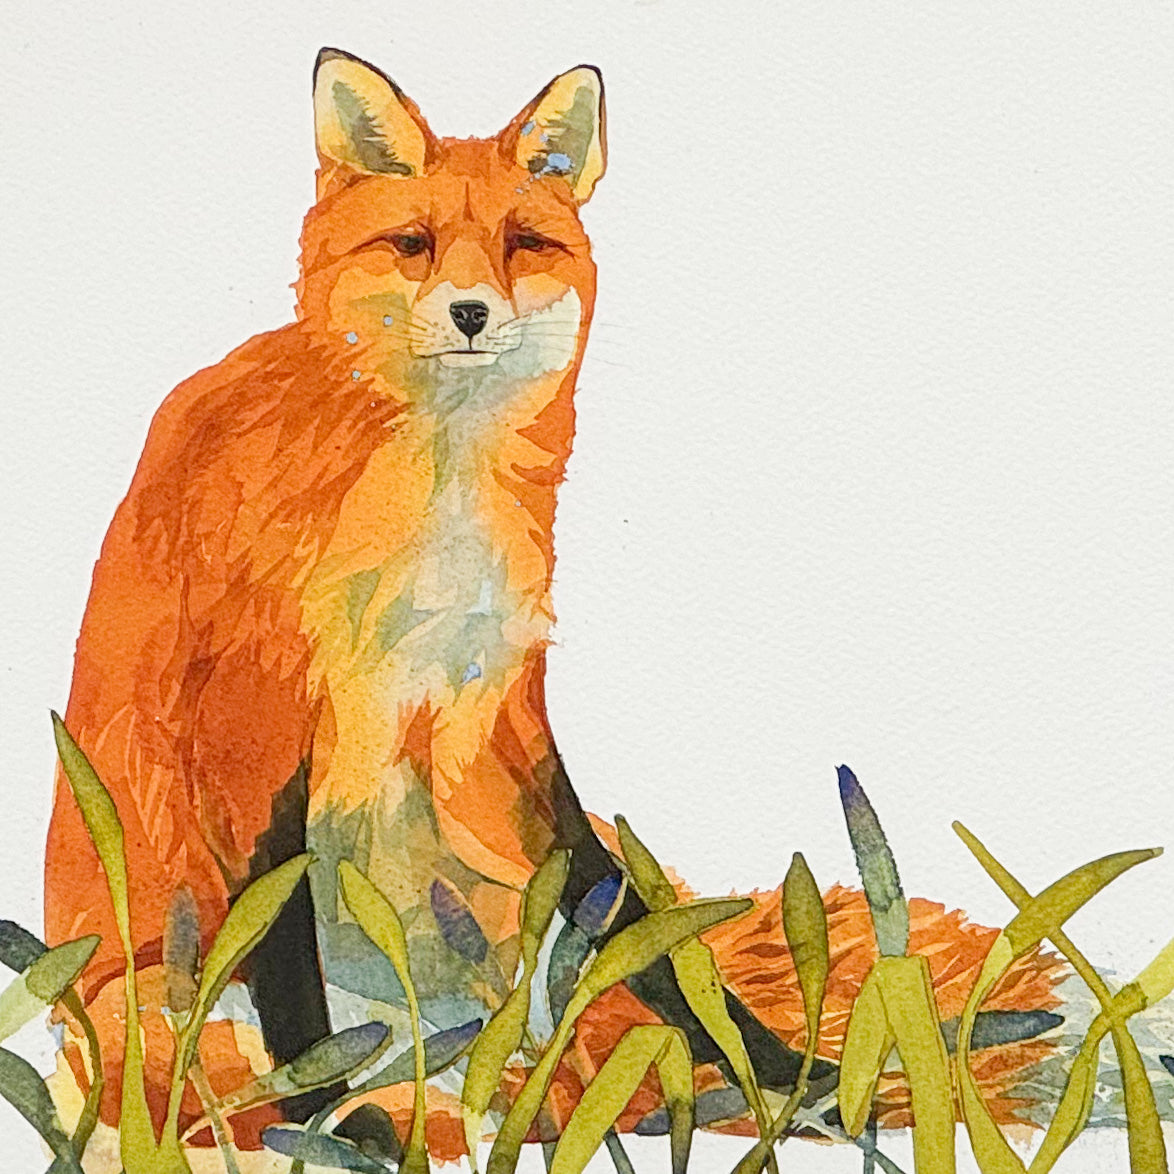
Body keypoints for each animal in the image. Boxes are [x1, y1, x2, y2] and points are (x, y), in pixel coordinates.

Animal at [43, 49, 1064, 1167]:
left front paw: (804, 1079)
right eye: (413, 244)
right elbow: (290, 975)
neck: (432, 506)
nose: (472, 312)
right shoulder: (259, 737)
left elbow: (636, 928)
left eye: (523, 244)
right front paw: (331, 1120)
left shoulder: (496, 710)